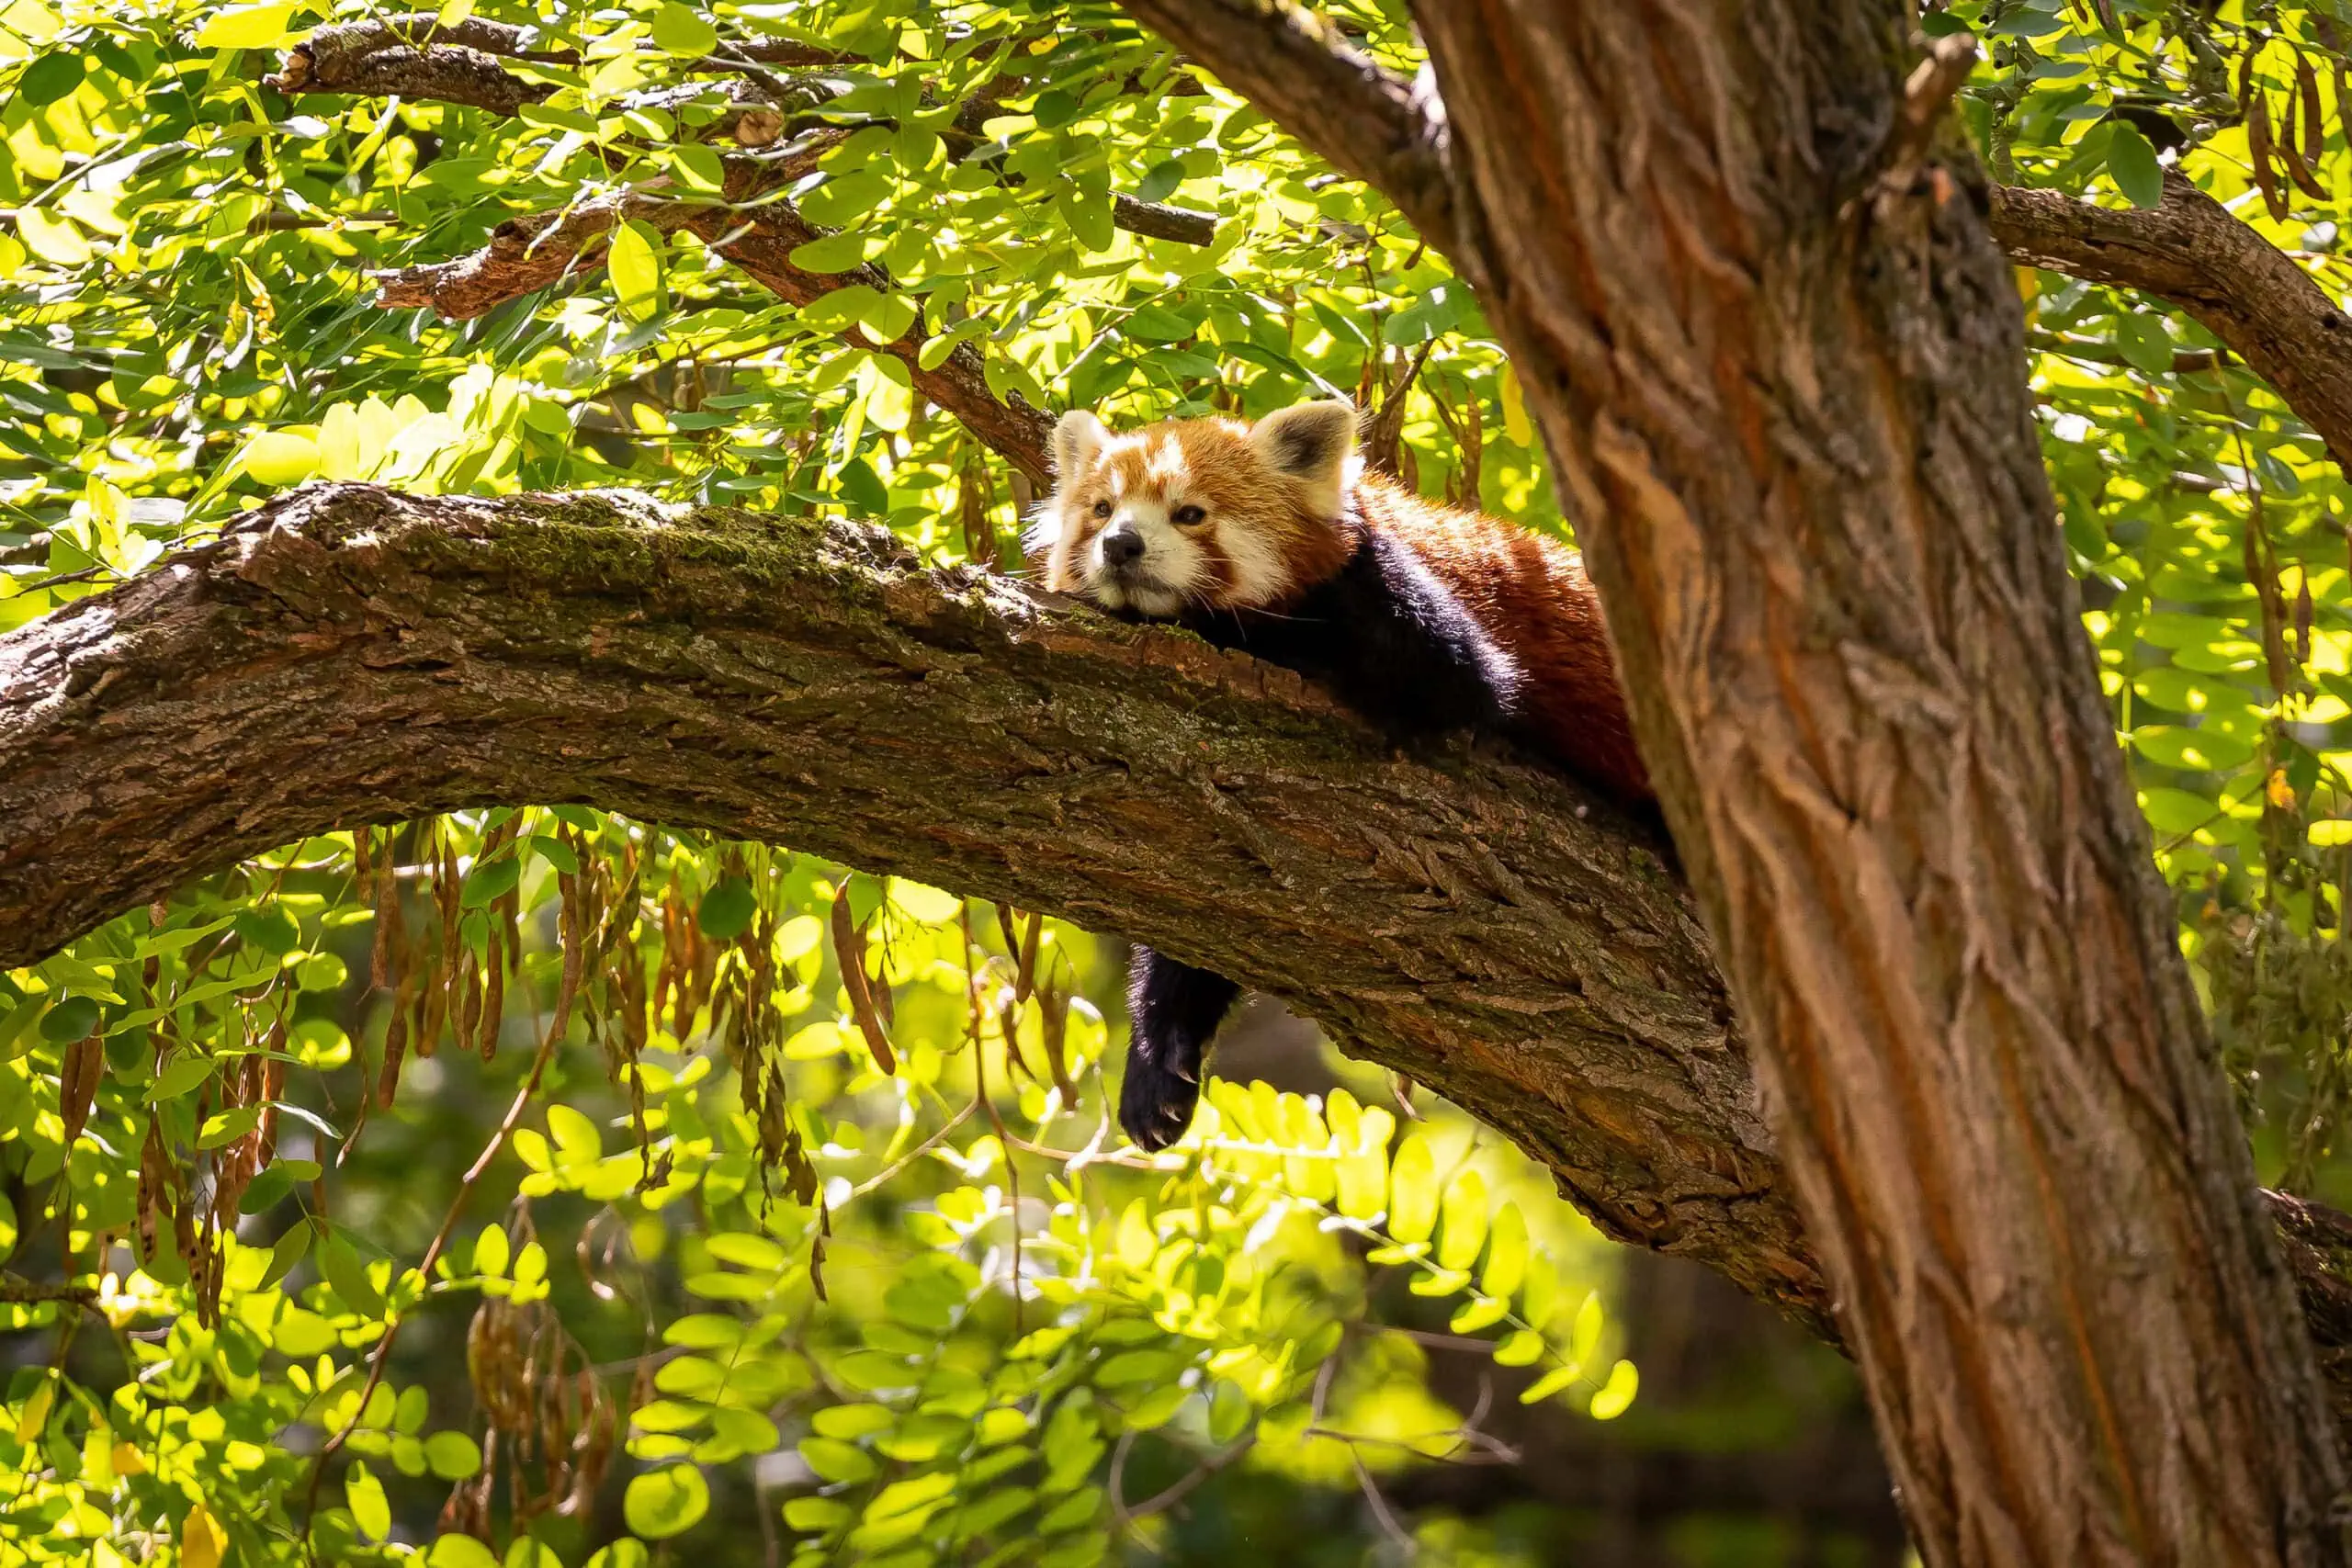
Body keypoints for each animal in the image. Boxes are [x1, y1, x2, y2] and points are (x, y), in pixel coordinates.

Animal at [1030, 400, 1656, 1146]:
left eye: (1189, 513)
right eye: (1101, 508)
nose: (1121, 544)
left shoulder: (1410, 609)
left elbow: (1462, 678)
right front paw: (1158, 1067)